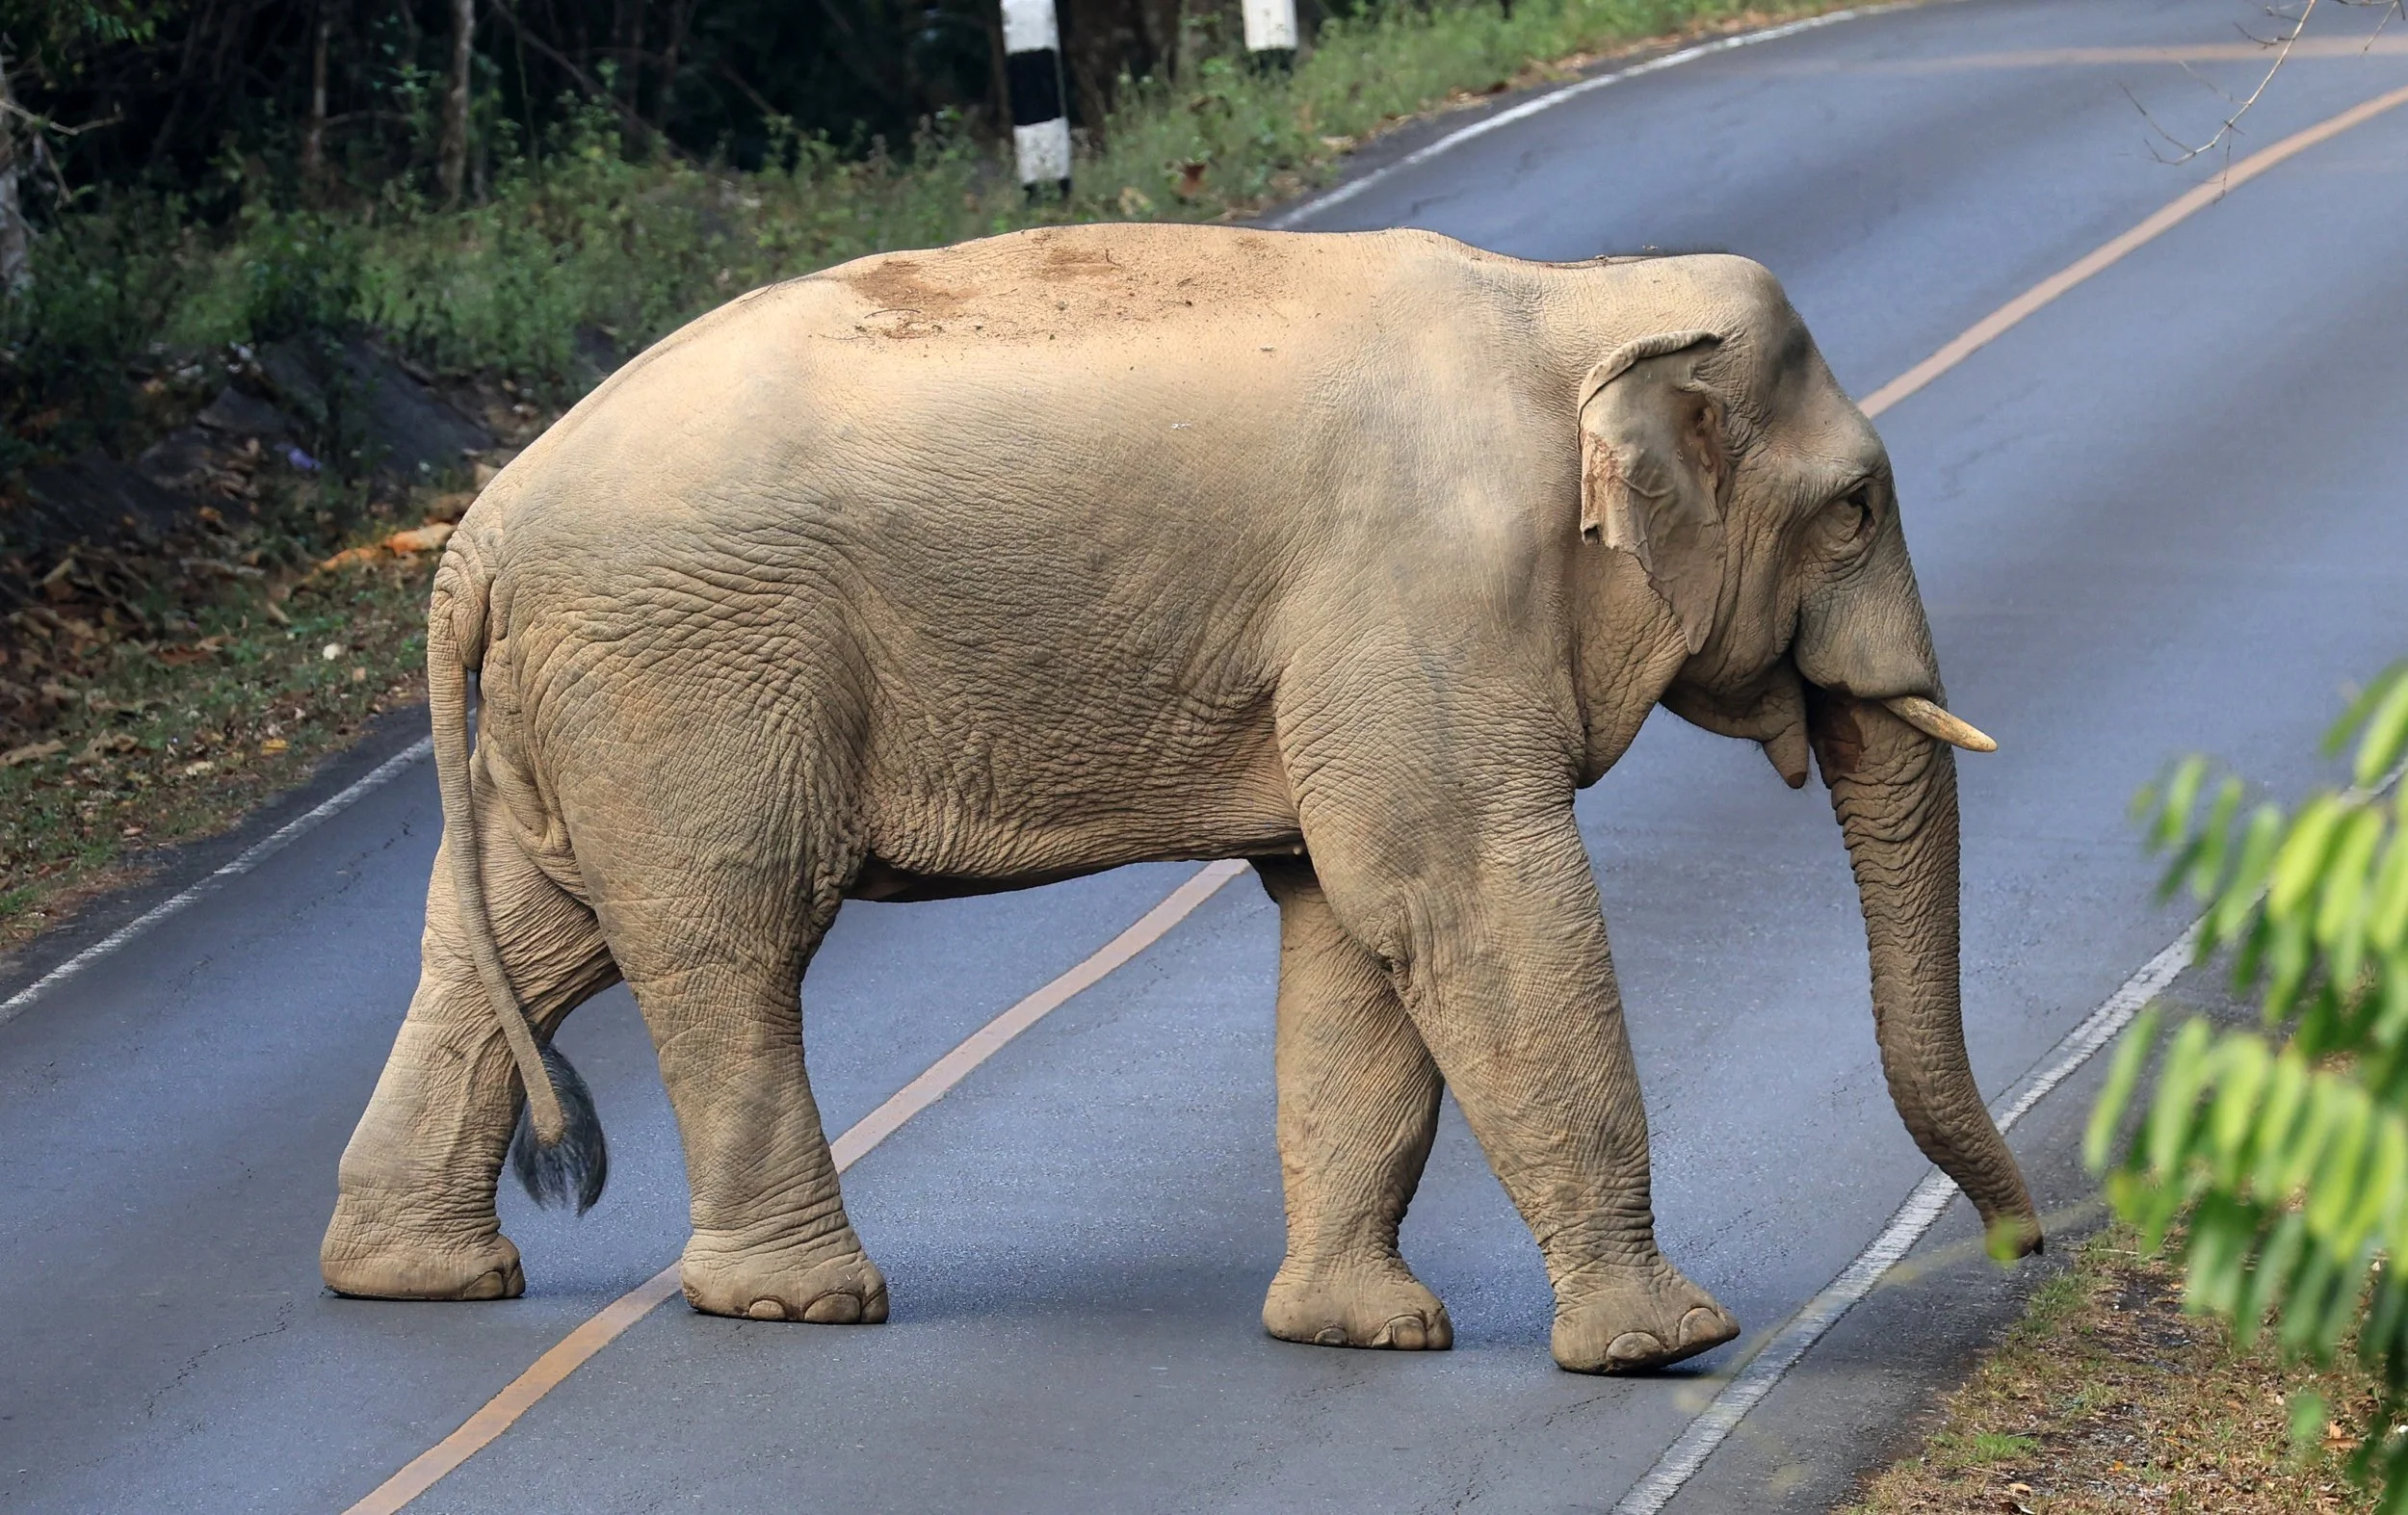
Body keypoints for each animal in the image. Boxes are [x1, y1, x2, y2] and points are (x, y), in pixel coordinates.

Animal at [320, 222, 2039, 1374]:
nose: (2029, 1254)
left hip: (584, 705)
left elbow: (1346, 923)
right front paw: (1662, 1345)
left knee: (521, 940)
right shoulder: (1417, 591)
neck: (1576, 296)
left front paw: (1358, 1331)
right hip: (694, 680)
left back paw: (416, 1275)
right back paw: (804, 1300)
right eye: (1858, 507)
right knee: (725, 943)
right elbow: (1459, 893)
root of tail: (479, 531)